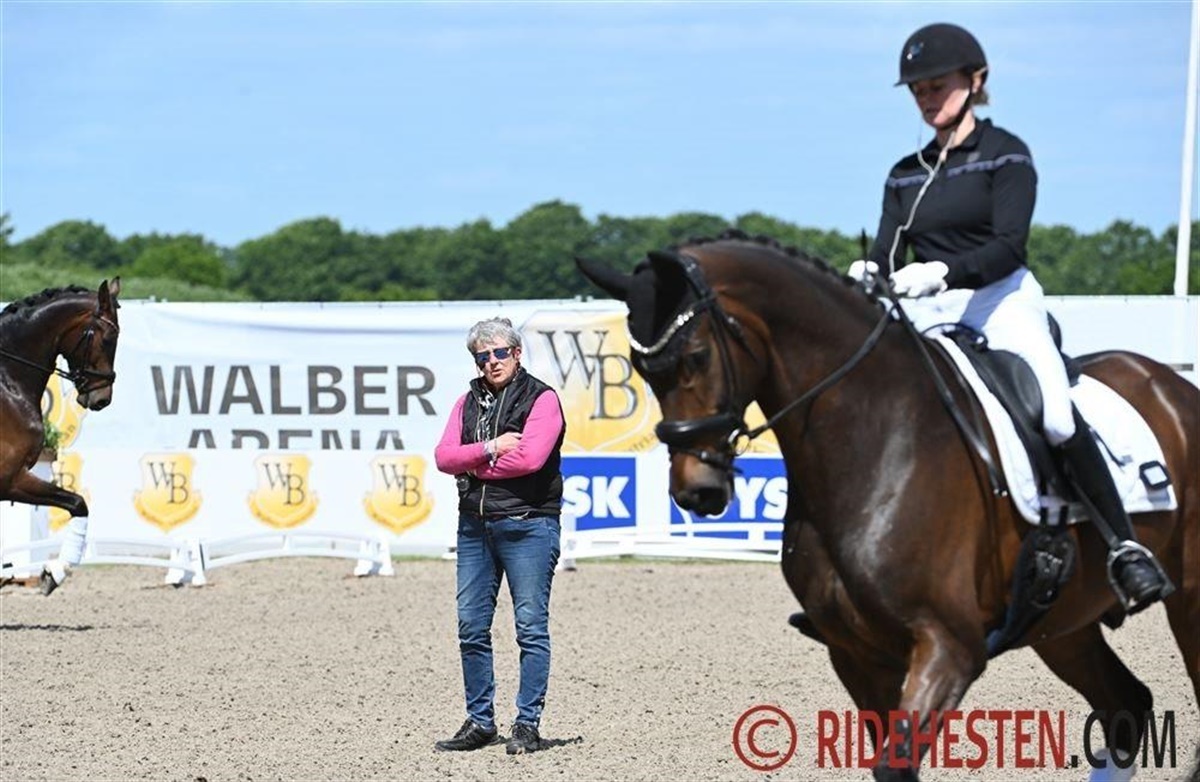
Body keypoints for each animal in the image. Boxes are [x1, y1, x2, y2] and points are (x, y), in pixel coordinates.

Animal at [0, 279, 122, 594]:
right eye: (109, 339)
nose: (102, 398)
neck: (8, 383)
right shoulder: (10, 479)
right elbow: (78, 503)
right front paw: (54, 573)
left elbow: (78, 504)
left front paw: (52, 573)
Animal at [576, 234, 1198, 780]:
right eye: (640, 369)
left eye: (697, 356)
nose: (696, 491)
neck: (876, 438)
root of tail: (1170, 383)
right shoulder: (858, 654)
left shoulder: (949, 646)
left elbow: (896, 764)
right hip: (1063, 624)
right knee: (1126, 707)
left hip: (1184, 595)